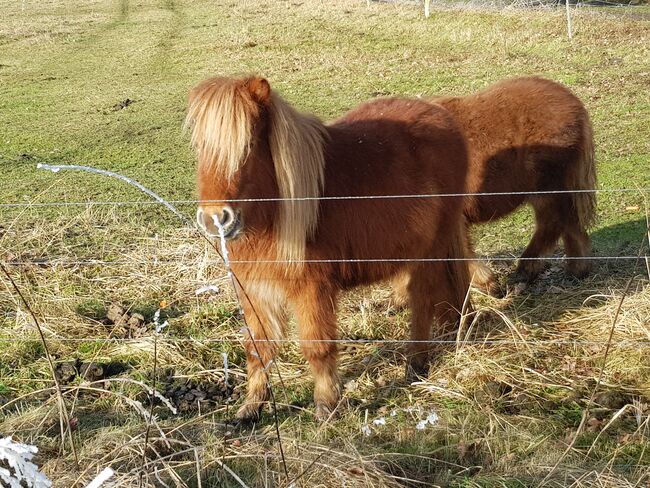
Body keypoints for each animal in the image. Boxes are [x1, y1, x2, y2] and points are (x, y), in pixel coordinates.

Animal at [187, 74, 470, 422]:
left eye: (249, 146)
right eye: (200, 147)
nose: (215, 219)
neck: (276, 214)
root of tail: (441, 114)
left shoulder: (313, 289)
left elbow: (317, 346)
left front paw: (326, 405)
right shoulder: (255, 290)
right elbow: (258, 347)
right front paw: (252, 406)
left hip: (431, 251)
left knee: (423, 301)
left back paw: (415, 364)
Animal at [392, 76, 596, 298]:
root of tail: (572, 101)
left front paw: (489, 284)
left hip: (547, 188)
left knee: (554, 223)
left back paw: (529, 270)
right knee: (569, 223)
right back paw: (574, 270)